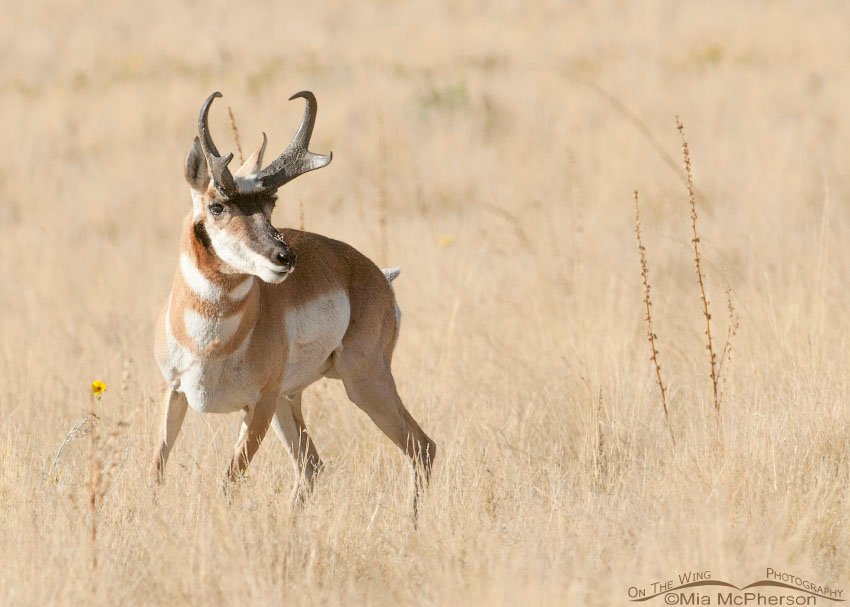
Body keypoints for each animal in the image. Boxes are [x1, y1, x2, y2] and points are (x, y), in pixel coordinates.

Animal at [151, 91, 436, 511]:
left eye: (271, 205)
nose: (284, 257)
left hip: (362, 381)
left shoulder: (260, 406)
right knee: (313, 466)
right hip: (293, 400)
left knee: (421, 446)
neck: (212, 343)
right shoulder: (174, 393)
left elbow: (228, 481)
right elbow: (156, 469)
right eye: (217, 206)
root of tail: (375, 274)